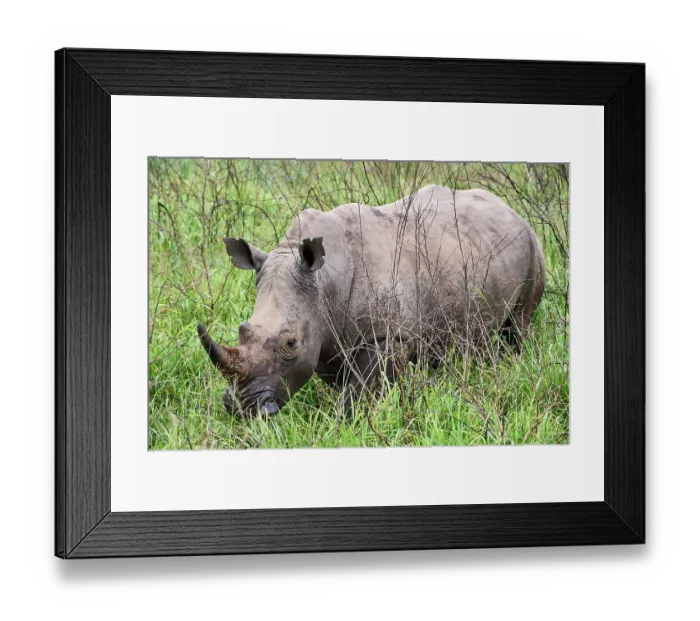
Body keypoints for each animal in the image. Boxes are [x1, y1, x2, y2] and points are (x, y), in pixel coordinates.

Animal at [197, 184, 546, 417]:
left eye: (290, 343)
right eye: (243, 329)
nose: (241, 408)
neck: (324, 283)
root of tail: (508, 207)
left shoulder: (386, 336)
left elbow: (356, 396)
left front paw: (345, 424)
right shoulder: (328, 337)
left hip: (532, 244)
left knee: (518, 327)